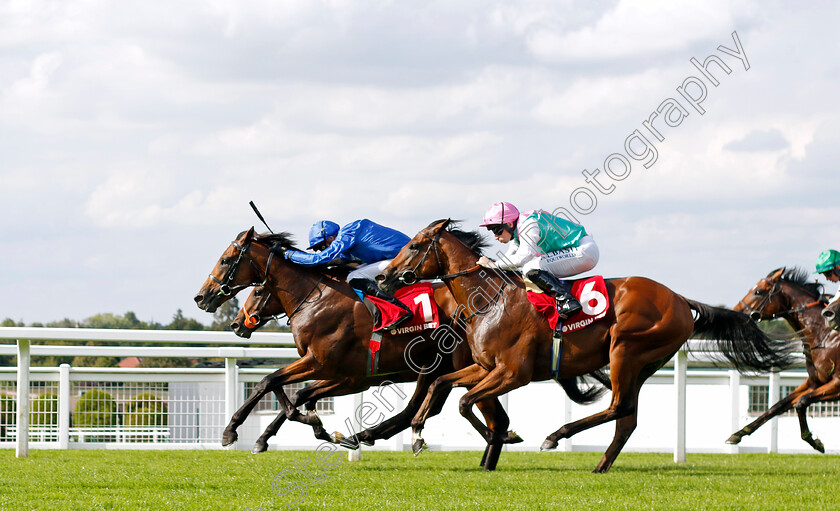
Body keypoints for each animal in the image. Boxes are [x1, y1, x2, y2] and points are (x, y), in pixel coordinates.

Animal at [197, 230, 604, 470]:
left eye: (226, 260)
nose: (203, 298)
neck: (316, 296)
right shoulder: (340, 374)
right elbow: (294, 394)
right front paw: (300, 429)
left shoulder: (326, 364)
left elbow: (271, 382)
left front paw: (235, 432)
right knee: (443, 409)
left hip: (458, 365)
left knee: (454, 410)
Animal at [376, 219, 796, 472]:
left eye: (415, 245)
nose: (382, 277)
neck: (491, 300)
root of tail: (680, 299)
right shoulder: (484, 367)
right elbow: (441, 384)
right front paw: (417, 431)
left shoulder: (513, 373)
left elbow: (464, 401)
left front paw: (501, 438)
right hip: (643, 363)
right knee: (627, 417)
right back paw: (600, 465)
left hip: (626, 350)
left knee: (618, 406)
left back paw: (556, 436)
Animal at [724, 268, 836, 452]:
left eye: (758, 291)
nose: (736, 312)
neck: (823, 334)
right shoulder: (815, 382)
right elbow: (779, 405)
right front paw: (738, 433)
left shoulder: (836, 384)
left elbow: (801, 402)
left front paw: (814, 441)